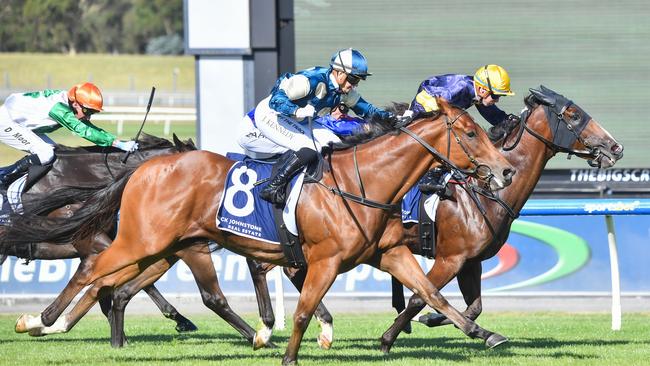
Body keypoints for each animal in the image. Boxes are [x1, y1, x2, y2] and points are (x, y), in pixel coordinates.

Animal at [2, 98, 512, 366]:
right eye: (469, 132)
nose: (505, 171)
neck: (364, 181)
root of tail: (146, 167)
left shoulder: (389, 254)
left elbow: (432, 294)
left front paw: (486, 334)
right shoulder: (323, 259)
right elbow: (303, 311)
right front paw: (289, 353)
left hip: (164, 246)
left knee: (114, 284)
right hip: (140, 241)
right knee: (94, 274)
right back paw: (38, 322)